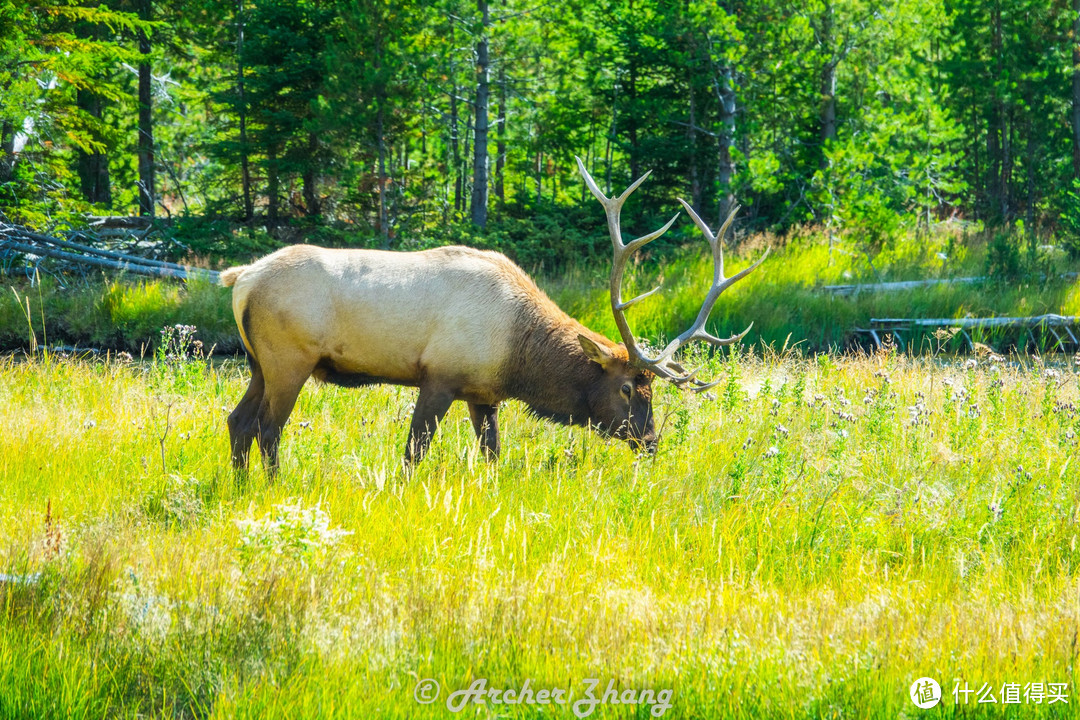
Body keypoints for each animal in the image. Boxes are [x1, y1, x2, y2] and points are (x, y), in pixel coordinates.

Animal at [219, 156, 764, 472]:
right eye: (629, 387)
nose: (650, 442)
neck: (518, 356)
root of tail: (241, 279)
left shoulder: (483, 395)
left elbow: (493, 457)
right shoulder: (439, 375)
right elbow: (413, 454)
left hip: (258, 363)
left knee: (238, 421)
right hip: (289, 359)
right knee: (267, 429)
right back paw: (272, 487)